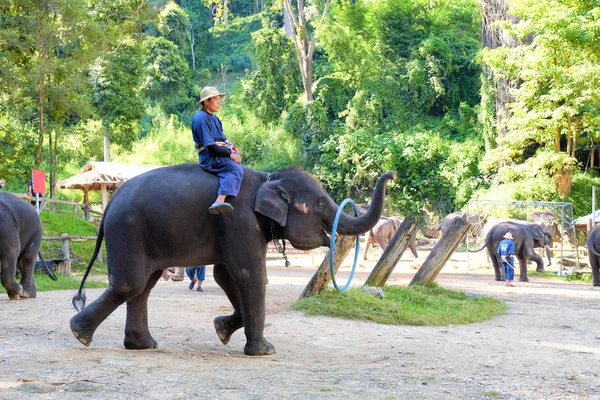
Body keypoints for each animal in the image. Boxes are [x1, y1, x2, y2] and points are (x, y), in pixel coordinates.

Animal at [69, 166, 394, 356]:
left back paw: (141, 345)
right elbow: (249, 274)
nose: (391, 175)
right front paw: (265, 351)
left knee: (144, 286)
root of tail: (110, 203)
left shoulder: (234, 227)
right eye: (321, 203)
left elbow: (226, 275)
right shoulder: (238, 220)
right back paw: (80, 335)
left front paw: (221, 330)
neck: (268, 177)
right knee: (132, 284)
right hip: (128, 230)